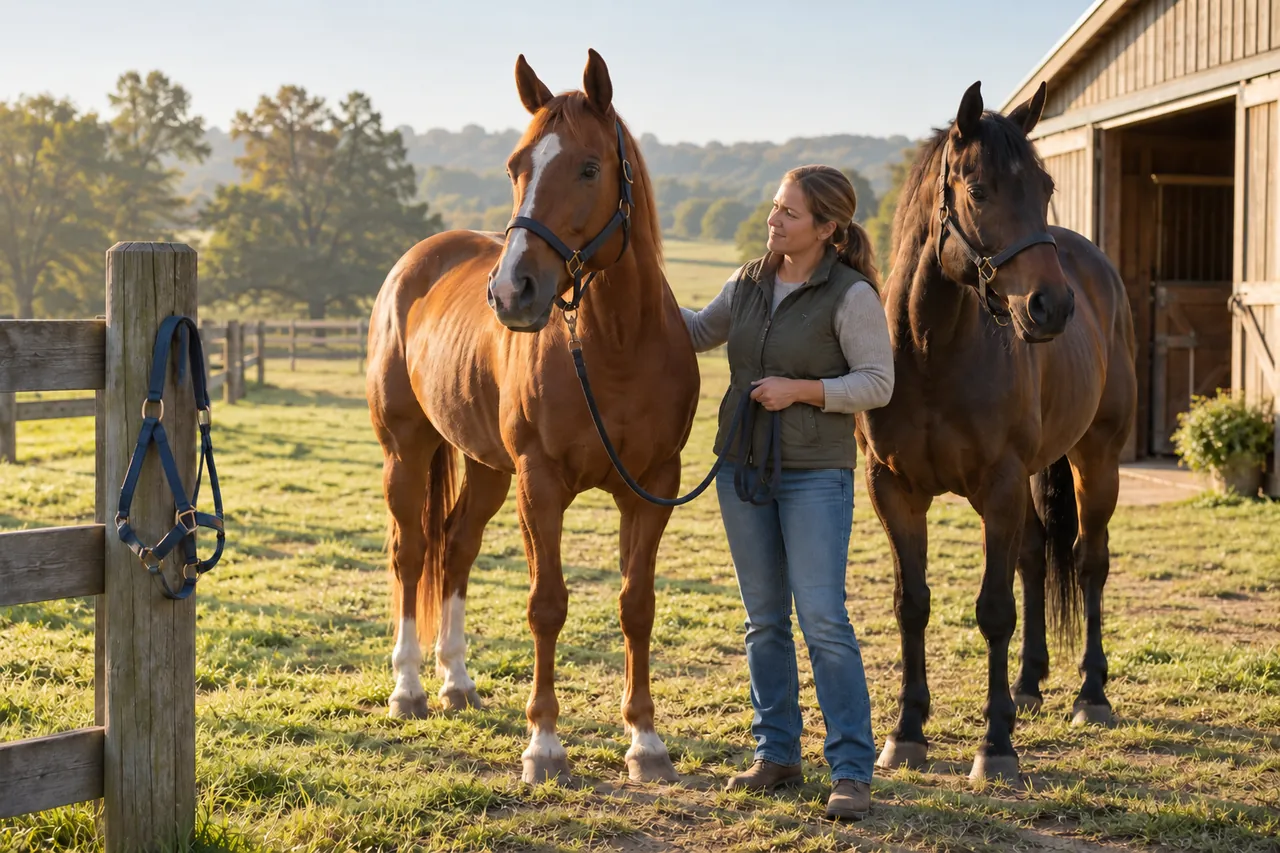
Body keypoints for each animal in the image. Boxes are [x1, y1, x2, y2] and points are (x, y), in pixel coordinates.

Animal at [365, 49, 699, 785]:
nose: (512, 290)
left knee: (455, 546)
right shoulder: (540, 483)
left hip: (488, 469)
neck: (616, 347)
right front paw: (544, 743)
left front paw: (646, 742)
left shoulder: (652, 488)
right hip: (407, 452)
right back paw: (408, 688)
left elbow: (637, 605)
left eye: (589, 167)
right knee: (411, 553)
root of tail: (413, 264)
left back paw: (456, 682)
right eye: (517, 166)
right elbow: (547, 605)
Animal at [855, 80, 1137, 784]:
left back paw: (1091, 694)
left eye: (1045, 186)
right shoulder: (893, 491)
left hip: (1097, 460)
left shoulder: (1001, 488)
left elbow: (993, 610)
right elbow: (913, 603)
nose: (1051, 307)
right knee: (1035, 560)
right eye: (978, 190)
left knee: (1089, 563)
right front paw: (906, 732)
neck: (930, 354)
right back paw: (1028, 685)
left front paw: (995, 746)